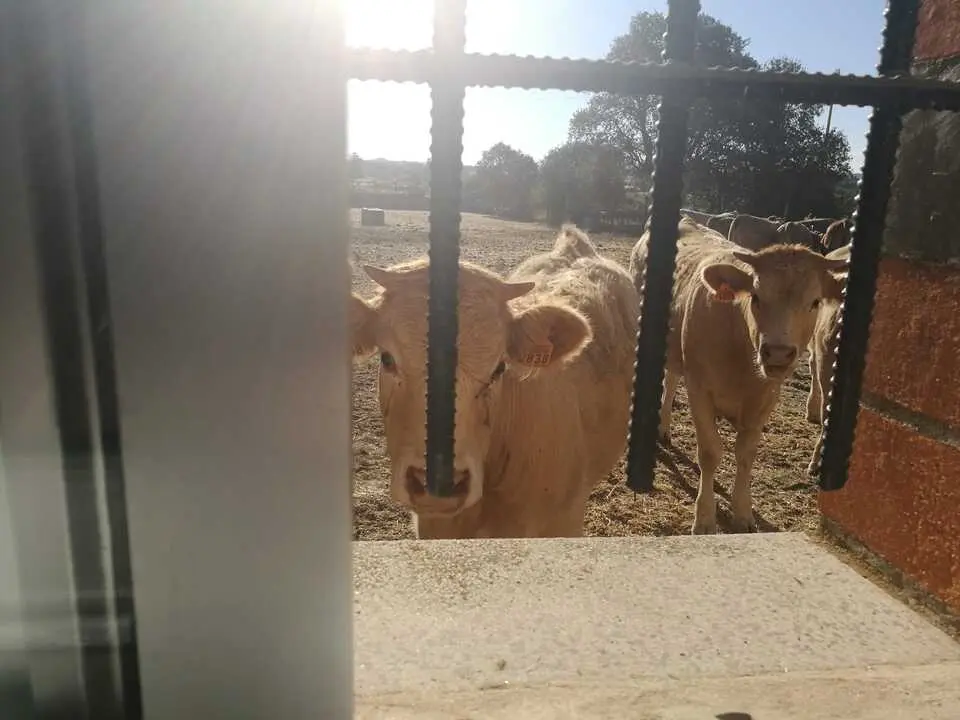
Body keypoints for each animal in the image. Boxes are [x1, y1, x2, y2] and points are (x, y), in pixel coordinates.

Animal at [629, 218, 848, 534]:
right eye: (756, 296)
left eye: (815, 302)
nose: (777, 353)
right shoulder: (700, 390)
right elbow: (710, 452)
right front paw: (704, 517)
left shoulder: (766, 399)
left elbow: (745, 454)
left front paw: (743, 512)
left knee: (670, 378)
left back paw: (664, 428)